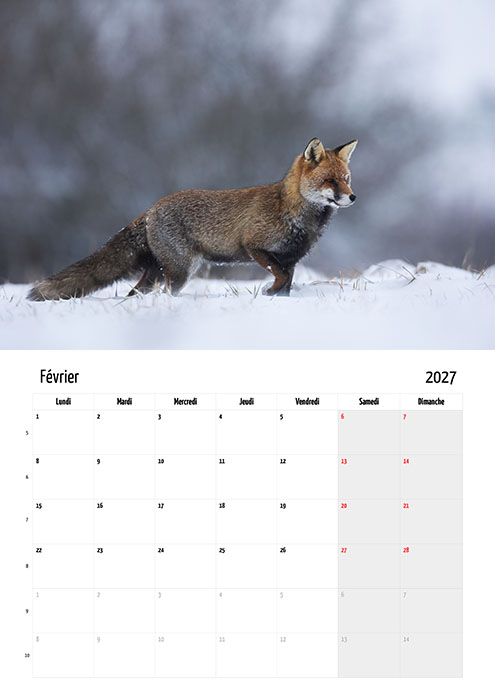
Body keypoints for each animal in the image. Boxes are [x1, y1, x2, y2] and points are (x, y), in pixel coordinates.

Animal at [27, 137, 357, 301]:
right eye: (330, 181)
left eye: (346, 179)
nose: (352, 197)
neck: (294, 213)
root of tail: (150, 209)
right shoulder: (255, 247)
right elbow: (278, 276)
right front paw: (269, 293)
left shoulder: (290, 258)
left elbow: (286, 281)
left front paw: (277, 299)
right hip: (179, 271)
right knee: (163, 293)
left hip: (159, 271)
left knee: (136, 293)